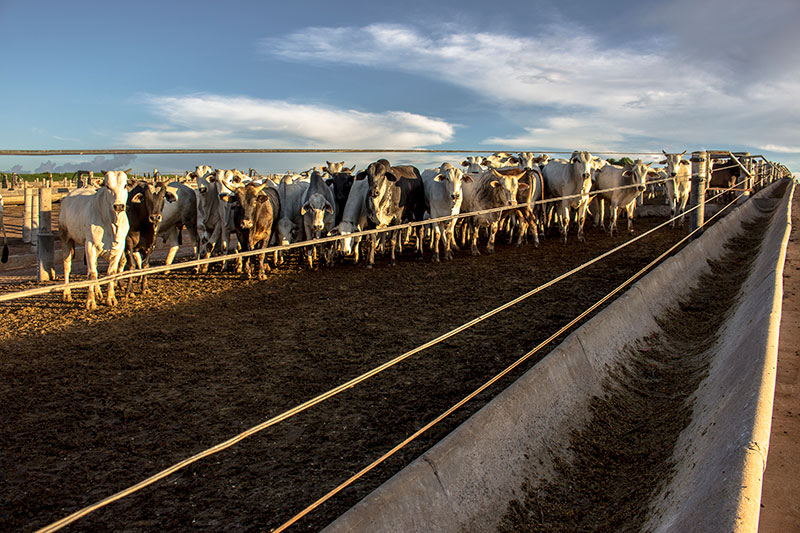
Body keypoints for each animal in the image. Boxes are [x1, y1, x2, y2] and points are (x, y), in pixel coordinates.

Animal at [59, 171, 129, 308]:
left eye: (125, 185)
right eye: (107, 186)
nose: (118, 206)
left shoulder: (119, 248)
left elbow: (110, 273)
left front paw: (111, 298)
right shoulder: (90, 245)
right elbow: (91, 274)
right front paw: (90, 302)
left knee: (94, 268)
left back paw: (98, 292)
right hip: (66, 238)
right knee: (67, 265)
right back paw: (66, 293)